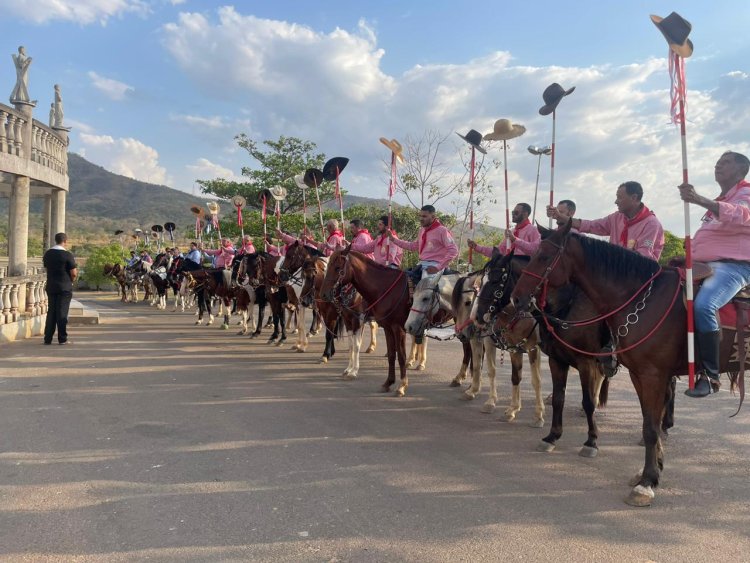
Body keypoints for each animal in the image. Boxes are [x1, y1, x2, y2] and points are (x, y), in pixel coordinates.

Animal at [320, 249, 408, 398]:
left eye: (337, 268)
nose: (324, 294)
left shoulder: (358, 320)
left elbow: (356, 345)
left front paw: (354, 371)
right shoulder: (348, 320)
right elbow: (351, 345)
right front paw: (348, 369)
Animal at [512, 223, 740, 508]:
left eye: (543, 256)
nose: (517, 298)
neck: (641, 299)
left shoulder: (648, 374)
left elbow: (648, 427)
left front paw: (646, 483)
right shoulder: (637, 375)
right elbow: (647, 421)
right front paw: (651, 472)